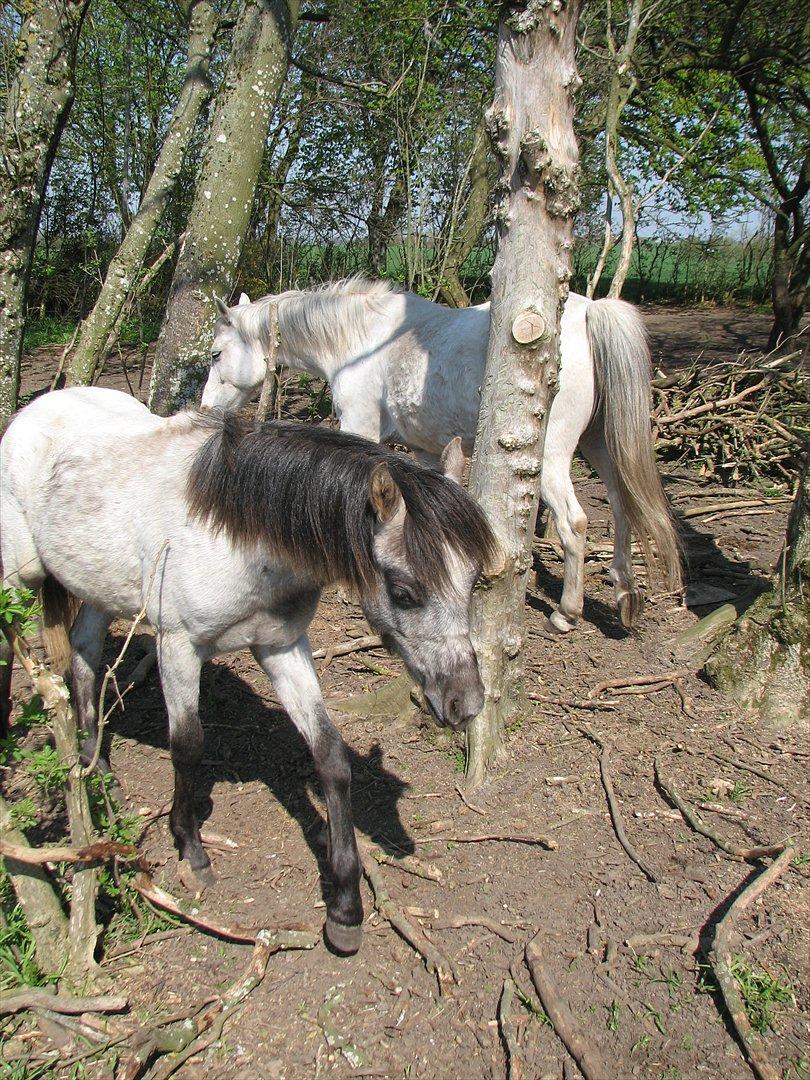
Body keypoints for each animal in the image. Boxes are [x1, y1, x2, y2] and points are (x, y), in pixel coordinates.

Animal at [0, 386, 498, 955]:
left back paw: (96, 771)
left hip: (98, 586)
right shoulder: (178, 645)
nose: (465, 703)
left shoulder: (282, 647)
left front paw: (345, 908)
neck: (235, 535)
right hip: (19, 579)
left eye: (472, 581)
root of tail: (37, 408)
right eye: (404, 591)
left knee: (83, 654)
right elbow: (187, 745)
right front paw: (191, 850)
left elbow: (331, 757)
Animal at [201, 278, 682, 633]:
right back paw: (625, 592)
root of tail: (589, 313)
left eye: (216, 353)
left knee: (575, 523)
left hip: (554, 460)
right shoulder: (425, 450)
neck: (364, 341)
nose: (206, 407)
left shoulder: (360, 426)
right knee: (622, 506)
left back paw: (567, 613)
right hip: (599, 445)